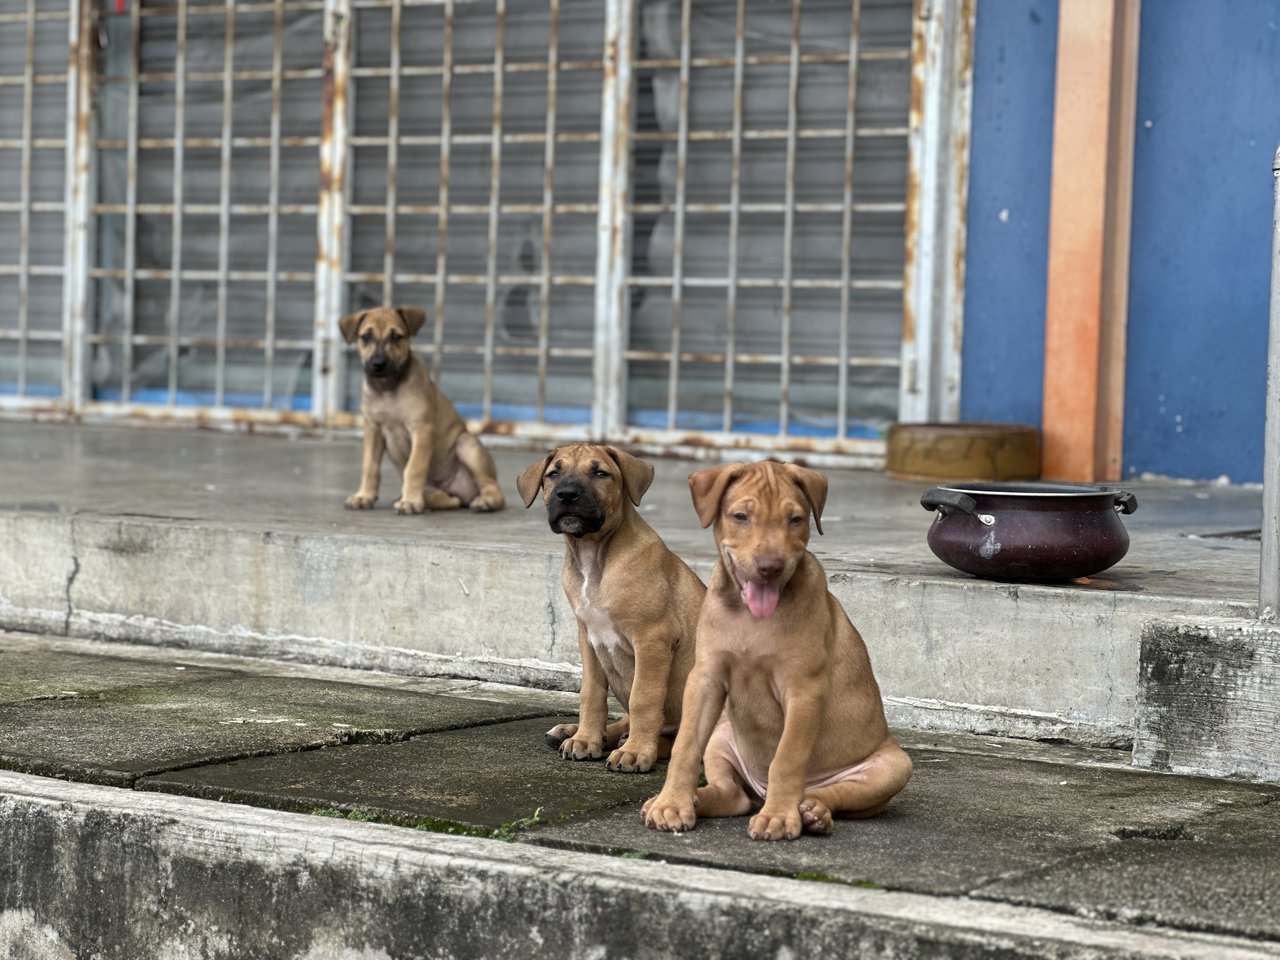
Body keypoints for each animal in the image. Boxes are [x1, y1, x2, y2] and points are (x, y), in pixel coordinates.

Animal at [340, 308, 504, 519]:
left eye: (396, 336)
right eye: (366, 337)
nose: (378, 364)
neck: (387, 387)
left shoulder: (421, 429)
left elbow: (414, 468)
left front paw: (410, 502)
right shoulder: (373, 430)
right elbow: (370, 466)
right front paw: (364, 496)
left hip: (467, 444)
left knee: (492, 487)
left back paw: (485, 501)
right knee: (451, 500)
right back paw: (429, 499)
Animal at [514, 445, 706, 773]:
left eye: (600, 473)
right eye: (553, 473)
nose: (566, 495)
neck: (594, 556)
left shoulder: (652, 640)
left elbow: (644, 699)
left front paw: (636, 752)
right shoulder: (588, 639)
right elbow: (591, 694)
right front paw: (585, 739)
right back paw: (575, 731)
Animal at [640, 458, 911, 839]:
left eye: (795, 519)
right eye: (741, 516)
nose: (770, 567)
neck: (751, 619)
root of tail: (759, 792)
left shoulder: (803, 691)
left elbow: (787, 758)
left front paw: (780, 817)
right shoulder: (705, 679)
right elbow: (685, 745)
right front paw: (671, 804)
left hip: (894, 765)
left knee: (830, 793)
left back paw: (811, 812)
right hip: (722, 733)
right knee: (733, 795)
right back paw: (696, 799)